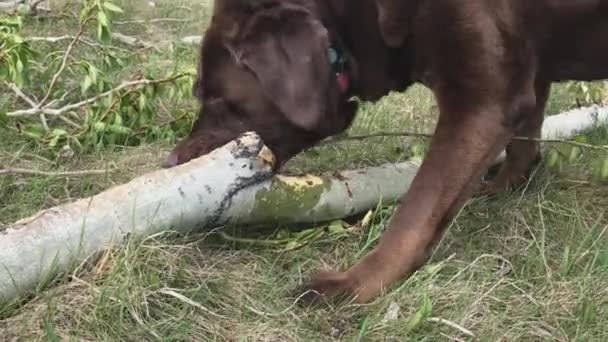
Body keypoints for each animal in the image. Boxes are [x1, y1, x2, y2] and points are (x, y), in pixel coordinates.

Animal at [164, 0, 608, 304]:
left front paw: (355, 283)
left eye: (219, 100)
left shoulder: (483, 101)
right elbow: (525, 138)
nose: (171, 161)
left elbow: (416, 210)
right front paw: (503, 187)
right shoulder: (524, 72)